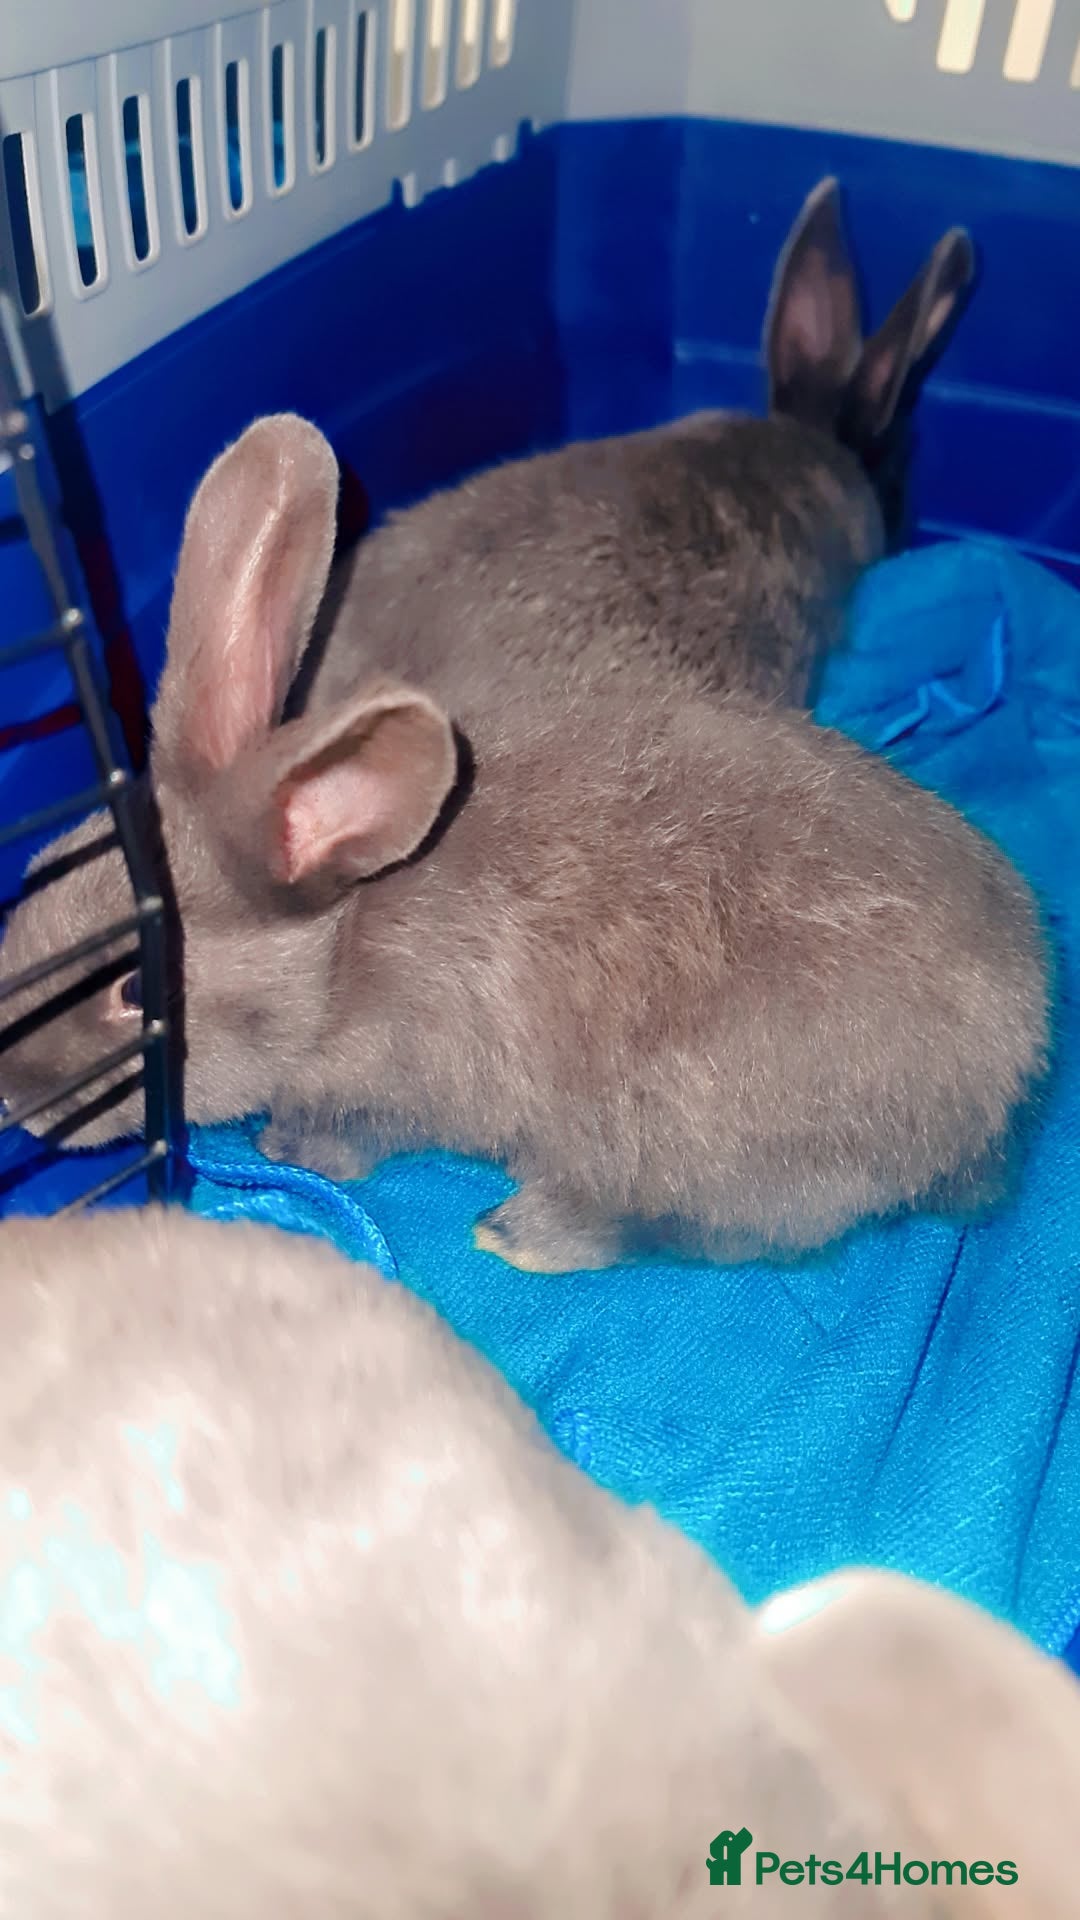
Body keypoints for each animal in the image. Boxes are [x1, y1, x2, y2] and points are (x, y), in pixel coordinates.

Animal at [0, 415, 1048, 1273]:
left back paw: (520, 1234)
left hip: (684, 1140)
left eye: (132, 991)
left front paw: (285, 1151)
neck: (341, 949)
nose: (14, 1100)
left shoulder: (393, 1086)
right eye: (36, 876)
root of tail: (1015, 1064)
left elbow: (353, 1134)